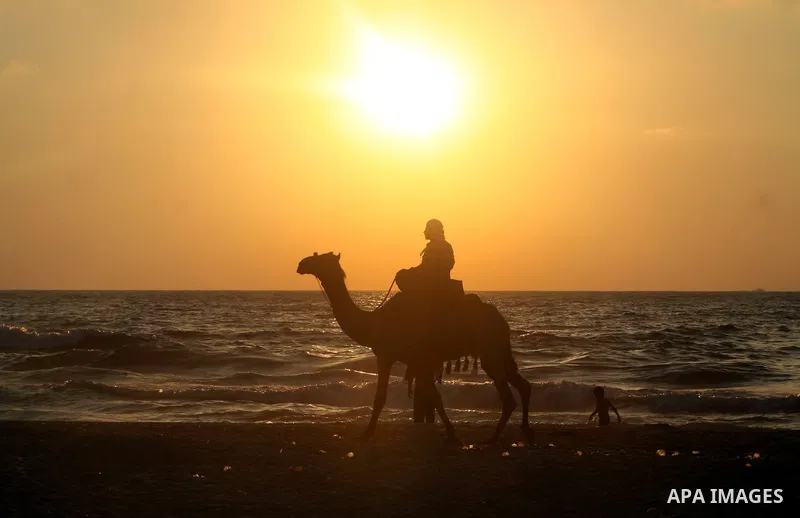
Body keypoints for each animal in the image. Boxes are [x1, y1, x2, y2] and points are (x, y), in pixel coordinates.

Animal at [297, 252, 533, 444]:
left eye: (320, 258)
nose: (301, 263)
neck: (374, 323)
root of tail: (501, 320)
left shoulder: (390, 355)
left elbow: (383, 397)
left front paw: (366, 434)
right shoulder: (418, 361)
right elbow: (433, 397)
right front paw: (452, 434)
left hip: (490, 351)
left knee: (508, 395)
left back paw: (493, 438)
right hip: (500, 350)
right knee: (523, 385)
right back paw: (523, 430)